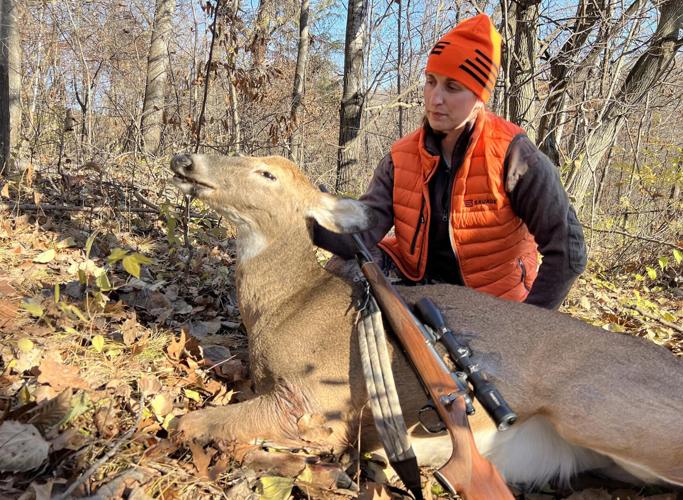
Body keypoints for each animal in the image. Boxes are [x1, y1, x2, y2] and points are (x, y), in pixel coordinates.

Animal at [170, 153, 683, 493]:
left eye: (267, 173)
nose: (186, 160)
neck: (287, 307)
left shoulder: (314, 403)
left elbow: (192, 421)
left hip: (597, 409)